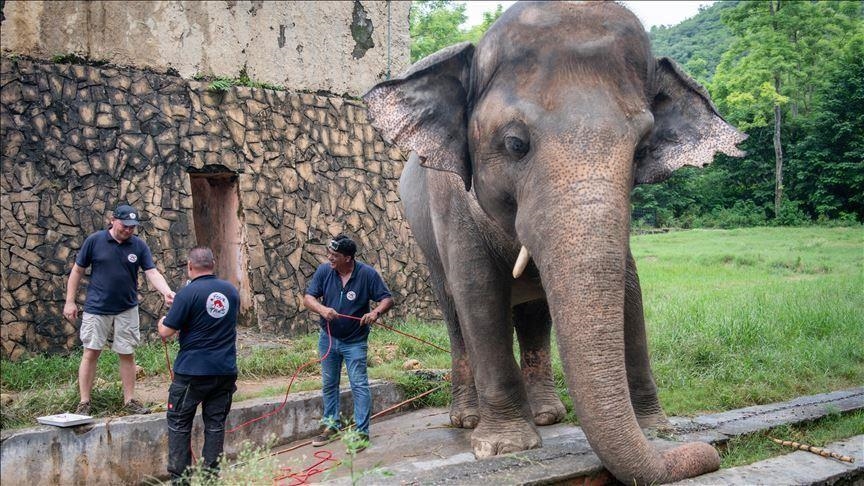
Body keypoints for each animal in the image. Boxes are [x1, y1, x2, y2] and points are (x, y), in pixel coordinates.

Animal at [364, 2, 746, 484]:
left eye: (641, 150)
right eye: (514, 143)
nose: (708, 454)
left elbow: (630, 290)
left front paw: (658, 428)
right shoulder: (449, 203)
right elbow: (477, 293)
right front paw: (503, 446)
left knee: (533, 316)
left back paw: (548, 414)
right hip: (423, 239)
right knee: (455, 318)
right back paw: (467, 419)